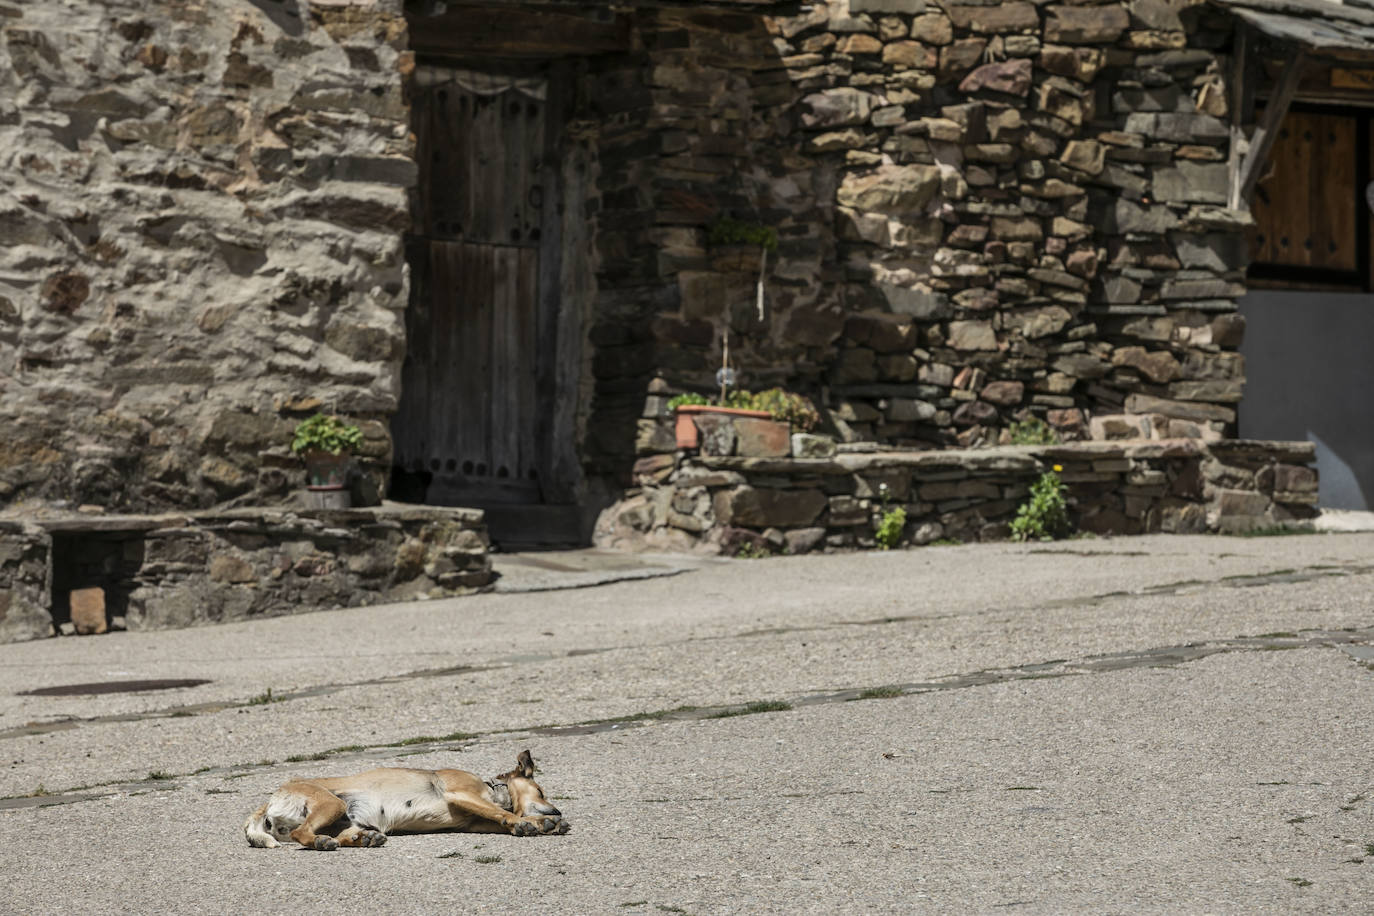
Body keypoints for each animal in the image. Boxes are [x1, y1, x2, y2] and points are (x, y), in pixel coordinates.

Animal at [245, 752, 568, 851]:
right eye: (540, 790)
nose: (557, 809)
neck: (494, 791)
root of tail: (269, 801)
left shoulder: (477, 821)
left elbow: (504, 819)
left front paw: (546, 823)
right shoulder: (460, 794)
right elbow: (512, 816)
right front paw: (534, 821)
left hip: (346, 818)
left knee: (340, 834)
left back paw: (363, 840)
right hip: (332, 804)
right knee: (303, 834)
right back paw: (323, 843)